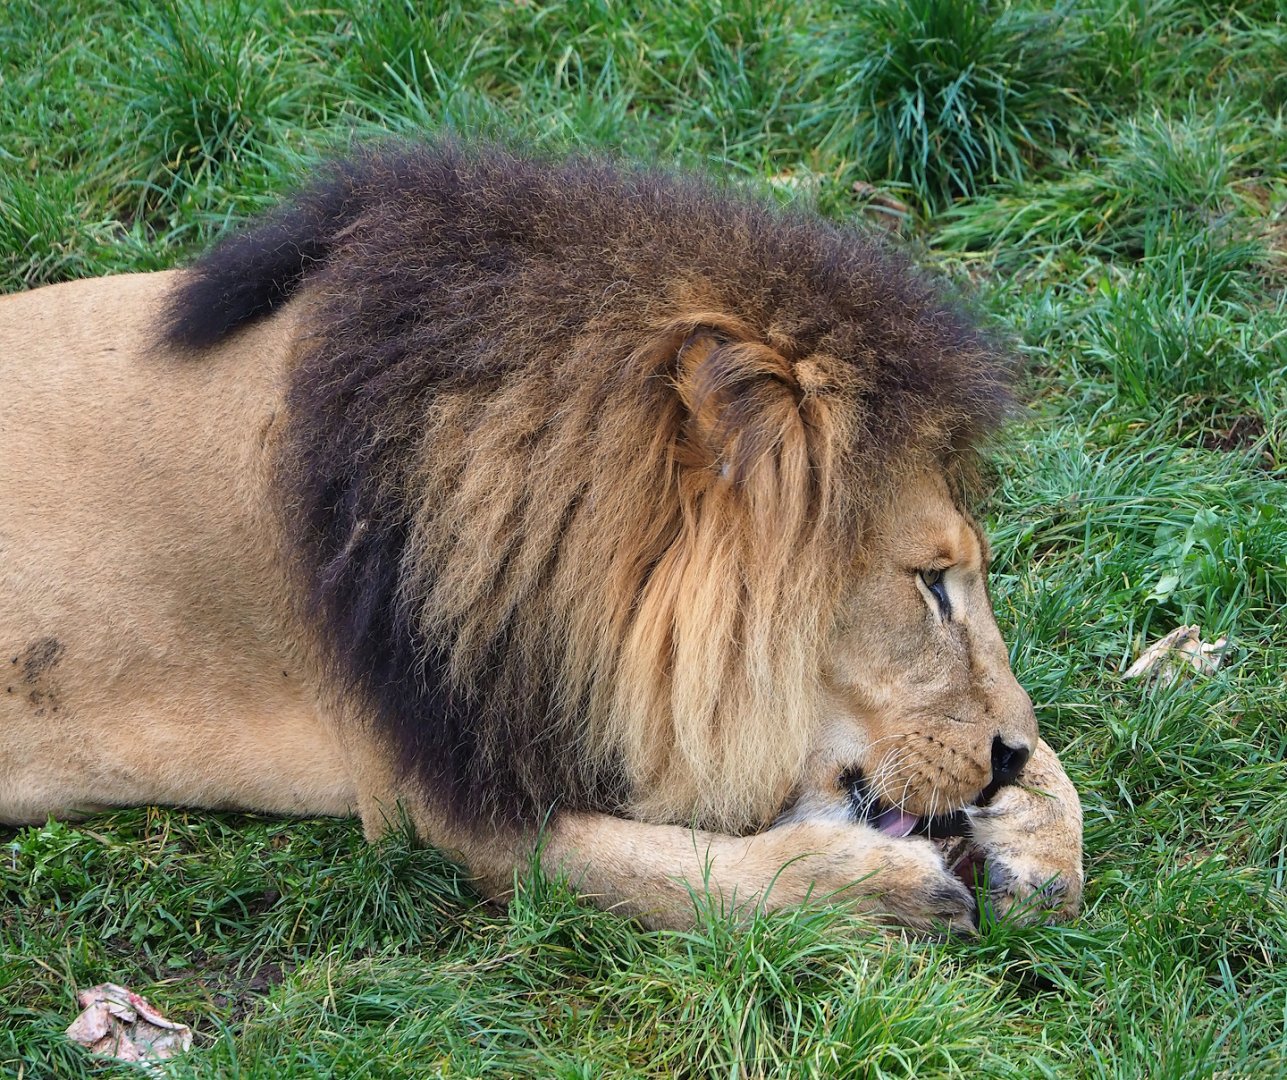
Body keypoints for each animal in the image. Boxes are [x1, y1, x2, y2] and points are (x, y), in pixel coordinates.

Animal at [0, 142, 1082, 932]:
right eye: (930, 582)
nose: (1004, 755)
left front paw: (1039, 833)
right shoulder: (439, 800)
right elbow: (679, 874)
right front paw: (882, 893)